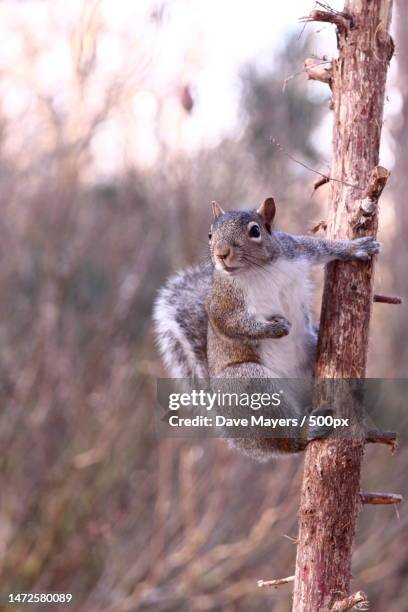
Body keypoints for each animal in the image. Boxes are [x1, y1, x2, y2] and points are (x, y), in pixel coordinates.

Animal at [155, 197, 380, 460]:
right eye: (210, 234)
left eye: (255, 231)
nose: (221, 254)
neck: (257, 270)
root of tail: (243, 438)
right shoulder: (222, 302)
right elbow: (232, 324)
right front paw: (276, 329)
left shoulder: (295, 249)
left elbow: (321, 247)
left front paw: (354, 248)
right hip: (250, 387)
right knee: (288, 439)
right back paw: (307, 429)